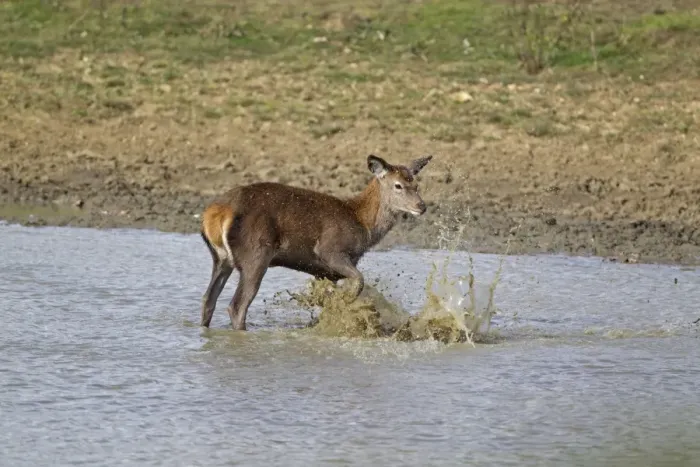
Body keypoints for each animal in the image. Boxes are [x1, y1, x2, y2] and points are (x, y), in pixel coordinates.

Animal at [199, 154, 433, 330]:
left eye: (416, 184)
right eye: (398, 185)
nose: (422, 206)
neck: (362, 225)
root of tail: (214, 214)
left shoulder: (323, 272)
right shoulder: (331, 250)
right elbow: (359, 279)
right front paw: (346, 304)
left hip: (221, 259)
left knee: (208, 299)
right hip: (255, 253)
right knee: (237, 305)